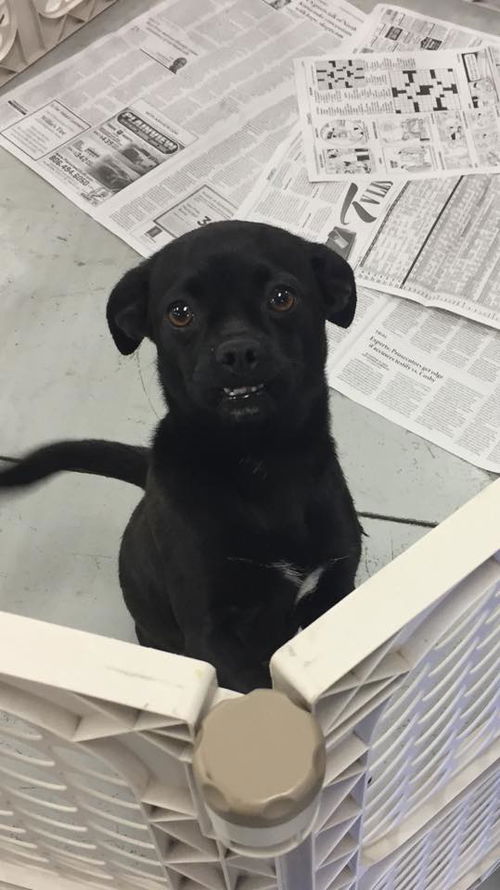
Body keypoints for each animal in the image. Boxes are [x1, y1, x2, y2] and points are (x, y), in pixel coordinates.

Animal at [0, 220, 360, 688]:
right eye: (180, 312)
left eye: (282, 297)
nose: (237, 352)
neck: (260, 462)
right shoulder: (212, 633)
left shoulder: (336, 591)